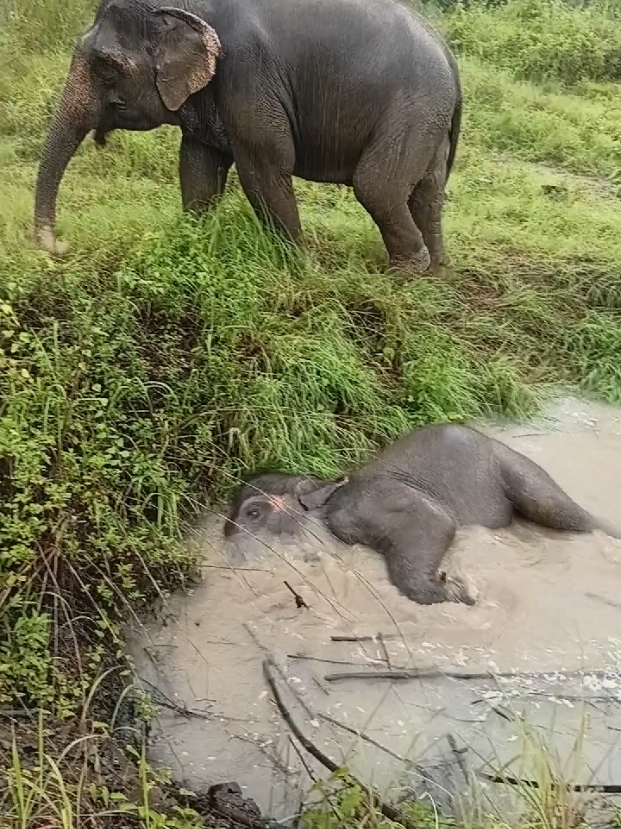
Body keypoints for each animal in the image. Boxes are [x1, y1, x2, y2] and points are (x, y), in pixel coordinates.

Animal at [34, 0, 462, 273]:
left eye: (106, 66)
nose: (60, 245)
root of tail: (448, 52)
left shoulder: (248, 72)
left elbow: (264, 170)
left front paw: (298, 269)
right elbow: (198, 168)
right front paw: (193, 244)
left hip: (414, 107)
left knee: (377, 187)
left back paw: (404, 275)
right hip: (429, 117)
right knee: (426, 192)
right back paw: (436, 274)